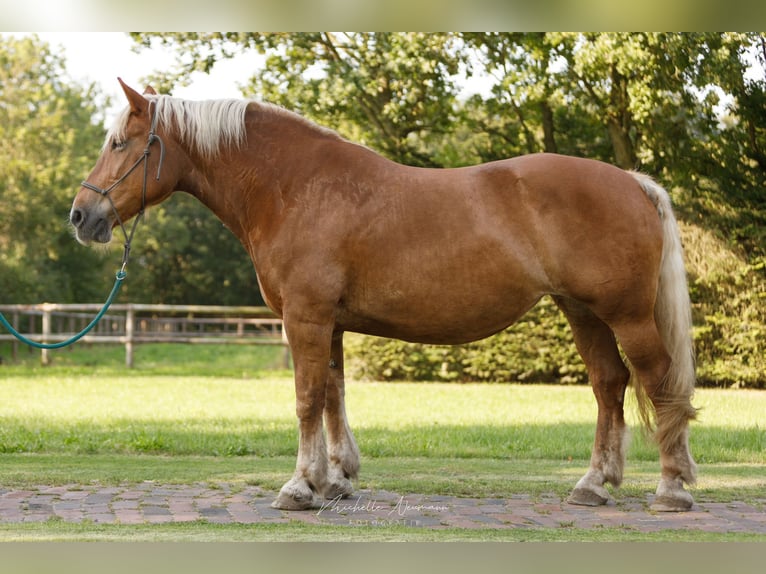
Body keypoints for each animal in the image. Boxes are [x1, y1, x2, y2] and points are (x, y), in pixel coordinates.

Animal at [69, 80, 700, 512]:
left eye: (120, 143)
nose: (81, 216)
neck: (293, 187)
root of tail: (631, 181)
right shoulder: (329, 324)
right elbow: (332, 396)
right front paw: (334, 479)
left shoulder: (306, 319)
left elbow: (306, 399)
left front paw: (299, 487)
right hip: (583, 313)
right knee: (609, 385)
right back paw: (593, 484)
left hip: (627, 316)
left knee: (659, 383)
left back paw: (671, 488)